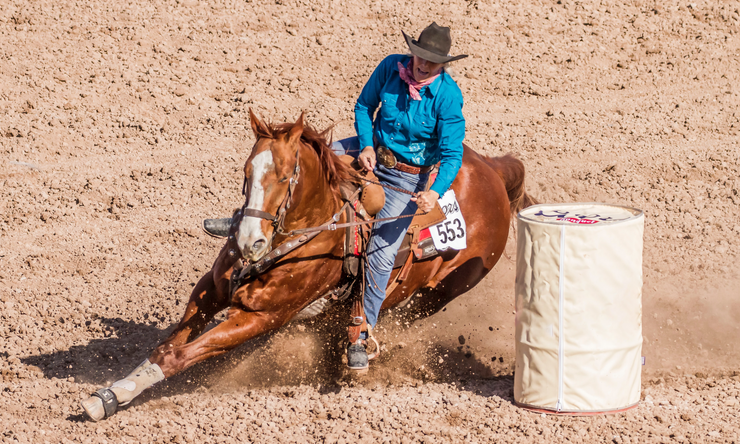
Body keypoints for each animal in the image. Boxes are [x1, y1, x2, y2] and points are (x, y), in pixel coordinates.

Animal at [81, 110, 536, 421]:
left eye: (285, 177)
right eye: (246, 171)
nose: (248, 240)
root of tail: (494, 170)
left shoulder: (260, 316)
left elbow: (181, 355)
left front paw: (116, 398)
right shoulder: (210, 289)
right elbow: (166, 346)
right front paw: (113, 391)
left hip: (439, 294)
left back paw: (354, 352)